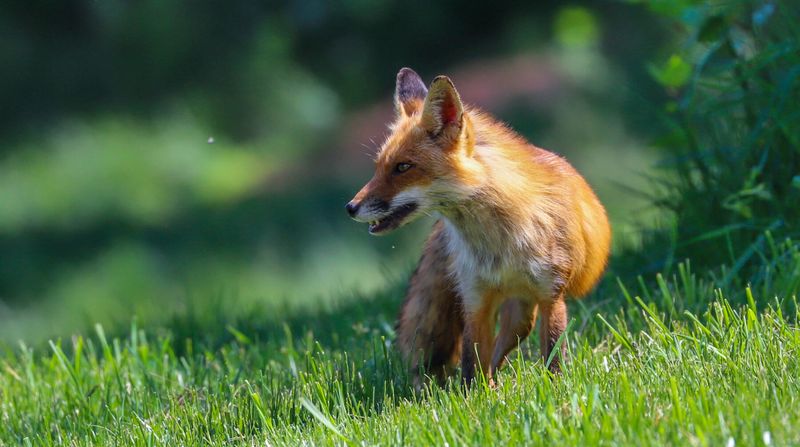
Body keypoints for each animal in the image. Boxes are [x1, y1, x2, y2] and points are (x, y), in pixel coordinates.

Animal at [346, 68, 611, 387]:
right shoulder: (475, 299)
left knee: (506, 344)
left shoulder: (551, 294)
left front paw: (556, 387)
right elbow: (472, 366)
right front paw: (478, 395)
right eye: (378, 167)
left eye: (403, 167)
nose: (350, 207)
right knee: (493, 356)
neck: (499, 244)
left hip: (522, 313)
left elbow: (553, 356)